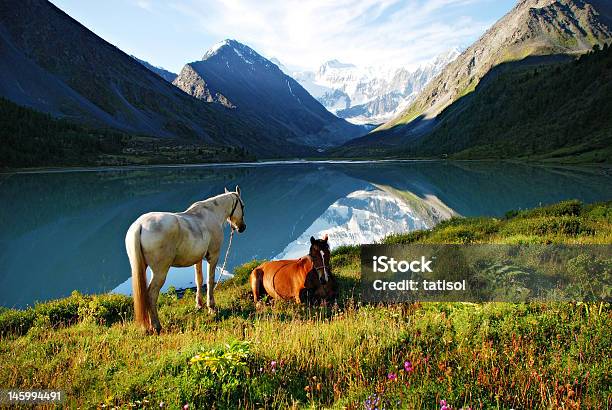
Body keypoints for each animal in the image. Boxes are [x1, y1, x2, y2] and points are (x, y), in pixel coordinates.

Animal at [124, 186, 246, 334]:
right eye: (243, 206)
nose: (242, 227)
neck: (211, 213)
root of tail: (140, 225)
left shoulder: (198, 259)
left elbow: (199, 280)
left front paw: (199, 305)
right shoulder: (213, 256)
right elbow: (210, 281)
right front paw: (211, 307)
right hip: (160, 272)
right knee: (151, 295)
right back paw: (156, 326)